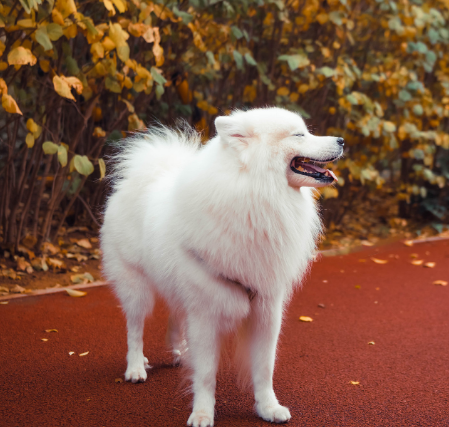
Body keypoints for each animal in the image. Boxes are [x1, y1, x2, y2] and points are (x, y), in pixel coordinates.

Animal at [100, 106, 344, 424]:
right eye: (299, 134)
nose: (341, 140)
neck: (256, 194)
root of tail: (142, 175)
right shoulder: (205, 313)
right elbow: (206, 374)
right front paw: (203, 414)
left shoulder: (266, 310)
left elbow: (264, 369)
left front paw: (268, 408)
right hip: (136, 286)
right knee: (135, 328)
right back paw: (135, 367)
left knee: (175, 317)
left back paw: (179, 352)